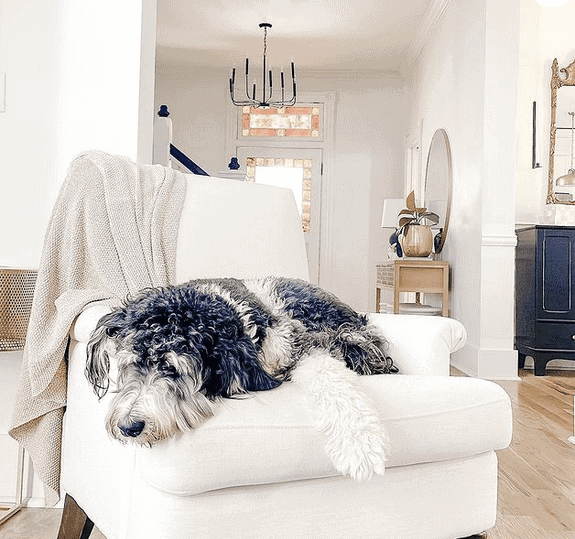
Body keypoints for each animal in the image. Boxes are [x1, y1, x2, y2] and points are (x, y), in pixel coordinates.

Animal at [86, 278, 396, 480]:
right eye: (132, 363)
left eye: (173, 369)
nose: (129, 427)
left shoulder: (305, 343)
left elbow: (328, 376)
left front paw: (360, 448)